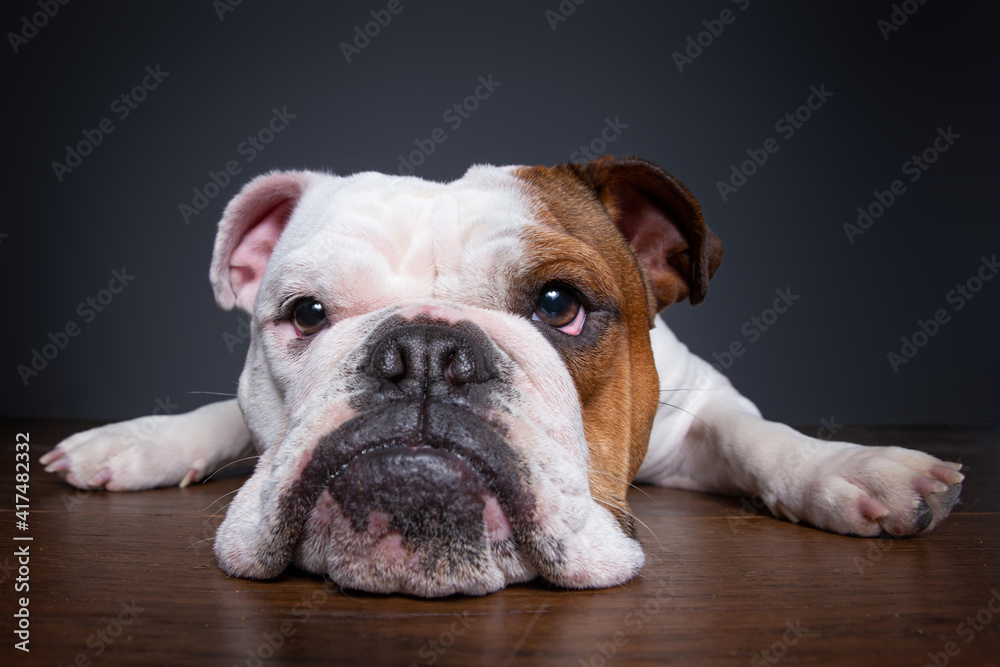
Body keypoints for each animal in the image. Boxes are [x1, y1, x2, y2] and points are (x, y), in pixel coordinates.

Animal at [39, 158, 960, 600]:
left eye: (560, 305)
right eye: (305, 314)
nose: (423, 352)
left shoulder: (700, 402)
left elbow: (756, 434)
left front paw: (854, 470)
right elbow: (227, 421)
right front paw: (136, 441)